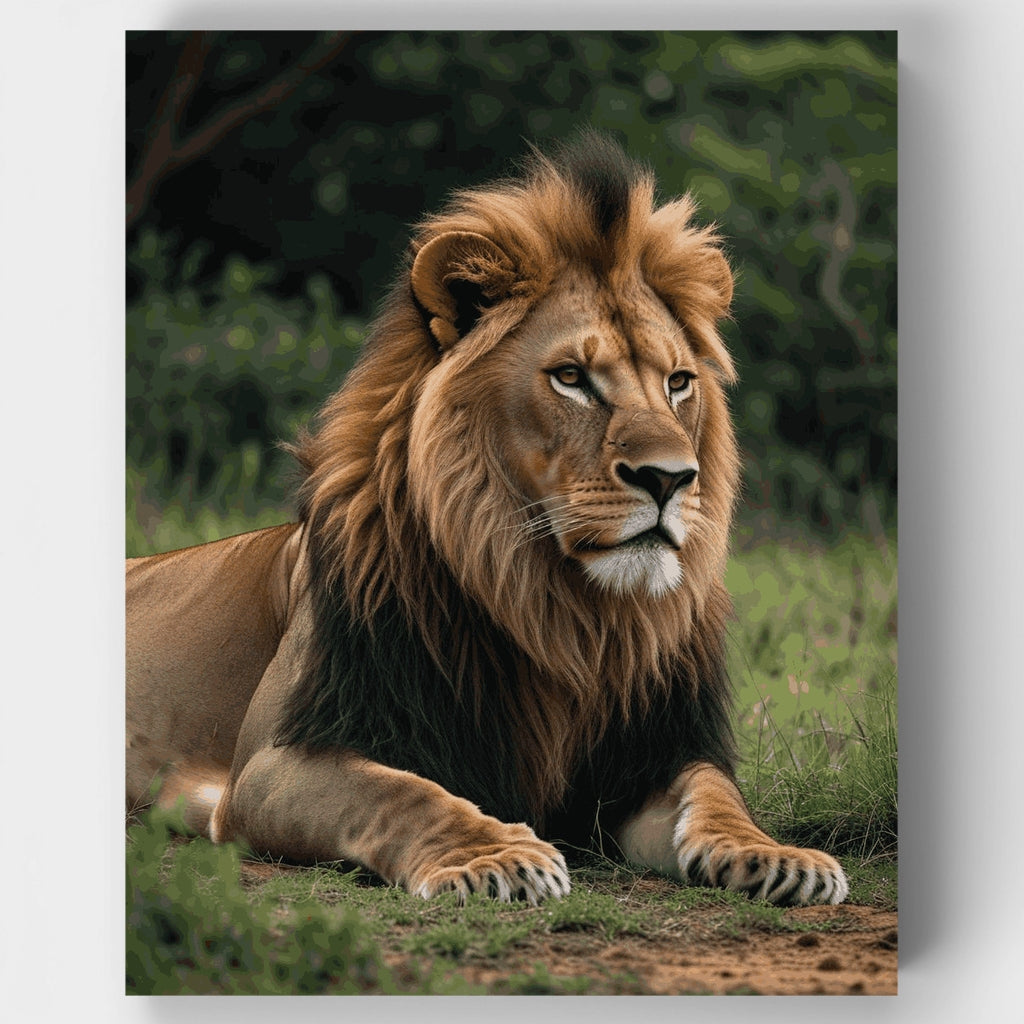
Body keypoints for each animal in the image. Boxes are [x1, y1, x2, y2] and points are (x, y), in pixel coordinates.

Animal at [127, 134, 848, 907]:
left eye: (678, 383)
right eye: (572, 378)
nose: (671, 478)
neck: (564, 612)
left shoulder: (653, 758)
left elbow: (715, 794)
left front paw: (775, 854)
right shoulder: (271, 764)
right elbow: (401, 793)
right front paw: (496, 855)